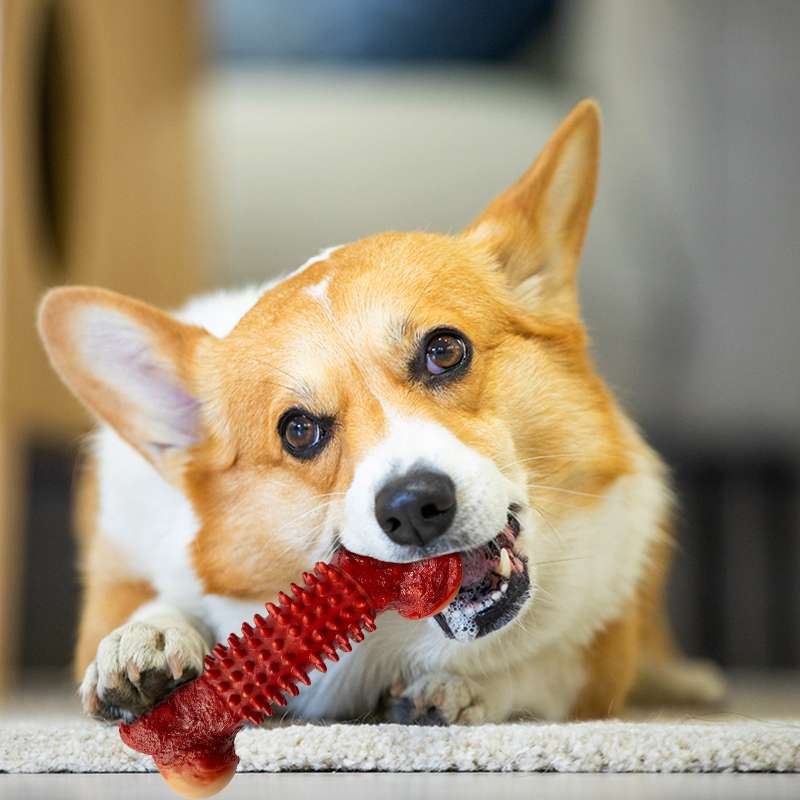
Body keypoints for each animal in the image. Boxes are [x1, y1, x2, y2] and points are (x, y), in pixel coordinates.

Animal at [39, 100, 724, 724]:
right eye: (298, 431)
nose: (414, 507)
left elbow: (539, 667)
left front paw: (462, 688)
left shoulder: (595, 652)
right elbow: (163, 602)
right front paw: (149, 640)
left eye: (445, 350)